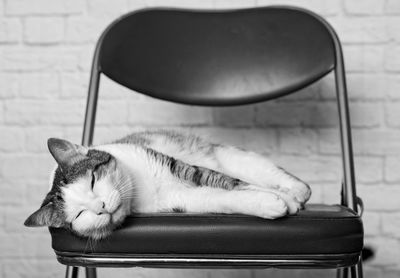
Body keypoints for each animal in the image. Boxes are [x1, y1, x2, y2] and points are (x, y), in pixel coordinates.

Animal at [25, 129, 310, 240]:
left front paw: (284, 199)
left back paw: (296, 191)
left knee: (264, 174)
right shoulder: (178, 200)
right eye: (80, 214)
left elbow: (231, 183)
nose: (101, 206)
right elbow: (219, 197)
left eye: (93, 181)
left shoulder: (179, 167)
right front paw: (267, 204)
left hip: (235, 157)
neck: (139, 188)